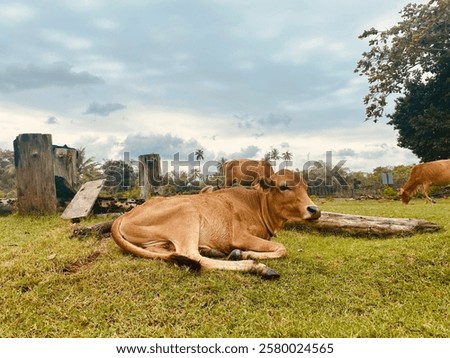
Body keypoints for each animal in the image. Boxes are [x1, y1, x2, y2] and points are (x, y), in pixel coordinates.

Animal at [110, 169, 320, 278]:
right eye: (284, 187)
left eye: (306, 187)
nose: (315, 210)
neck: (257, 205)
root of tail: (125, 215)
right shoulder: (239, 236)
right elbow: (282, 248)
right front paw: (244, 254)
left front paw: (242, 253)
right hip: (187, 213)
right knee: (191, 255)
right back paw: (255, 267)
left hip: (157, 242)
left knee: (171, 252)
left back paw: (212, 251)